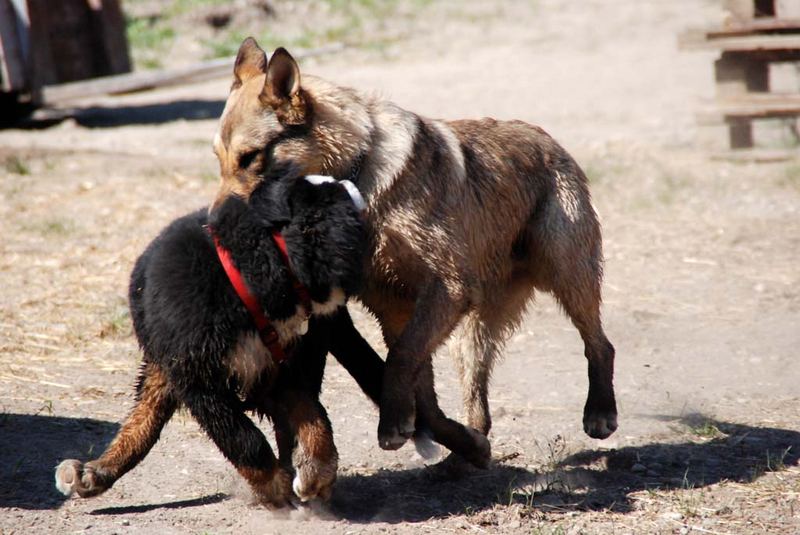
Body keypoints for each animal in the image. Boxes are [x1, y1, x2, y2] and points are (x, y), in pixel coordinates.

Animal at [55, 172, 368, 506]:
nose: (356, 185)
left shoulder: (284, 370)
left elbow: (314, 418)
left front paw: (314, 471)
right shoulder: (199, 381)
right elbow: (244, 439)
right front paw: (275, 488)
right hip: (164, 362)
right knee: (145, 416)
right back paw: (95, 471)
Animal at [214, 39, 620, 462]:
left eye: (250, 157)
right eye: (219, 160)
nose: (214, 225)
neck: (357, 178)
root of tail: (547, 139)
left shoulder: (444, 290)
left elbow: (402, 359)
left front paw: (394, 425)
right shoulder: (395, 307)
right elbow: (420, 389)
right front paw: (439, 434)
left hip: (567, 276)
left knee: (600, 345)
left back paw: (600, 412)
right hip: (470, 332)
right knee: (477, 391)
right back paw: (468, 449)